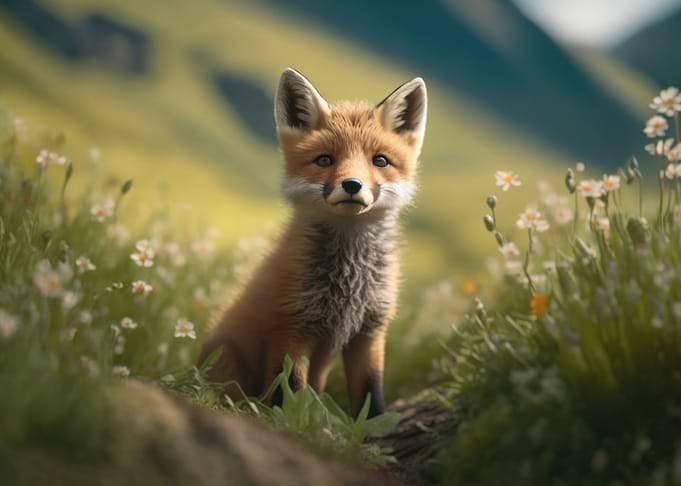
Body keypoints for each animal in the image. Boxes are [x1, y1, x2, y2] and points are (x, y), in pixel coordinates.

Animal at [198, 68, 427, 418]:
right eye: (325, 160)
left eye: (380, 161)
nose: (352, 185)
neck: (348, 289)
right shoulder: (291, 329)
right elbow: (289, 393)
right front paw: (287, 423)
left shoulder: (370, 332)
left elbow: (371, 395)